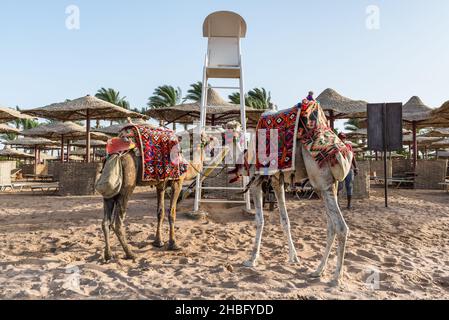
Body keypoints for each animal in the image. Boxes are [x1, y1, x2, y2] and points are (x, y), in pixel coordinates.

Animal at [102, 129, 213, 262]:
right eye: (204, 135)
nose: (212, 139)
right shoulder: (177, 182)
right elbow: (172, 213)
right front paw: (173, 244)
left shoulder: (161, 185)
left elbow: (160, 212)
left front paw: (158, 242)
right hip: (127, 186)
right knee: (117, 223)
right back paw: (130, 254)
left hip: (110, 192)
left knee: (105, 222)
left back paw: (108, 255)